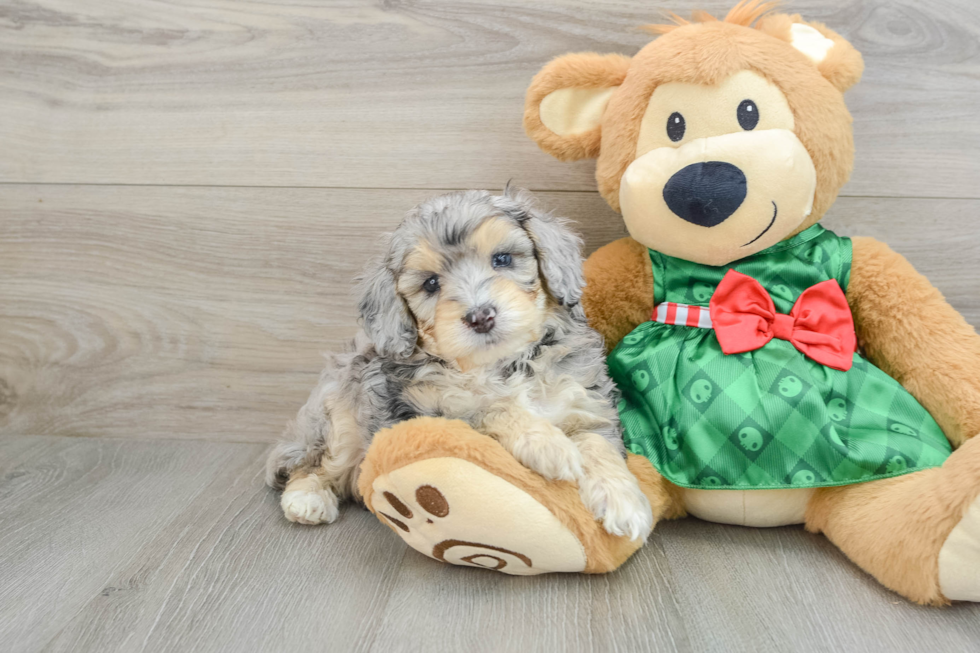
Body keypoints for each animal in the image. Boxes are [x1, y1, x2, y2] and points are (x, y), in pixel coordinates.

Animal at [264, 187, 656, 540]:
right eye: (430, 283)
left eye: (502, 259)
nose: (480, 316)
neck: (503, 365)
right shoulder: (424, 413)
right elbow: (489, 408)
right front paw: (548, 444)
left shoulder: (584, 401)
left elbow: (597, 445)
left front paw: (623, 500)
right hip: (342, 420)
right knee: (314, 464)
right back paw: (307, 499)